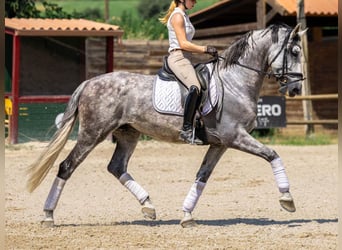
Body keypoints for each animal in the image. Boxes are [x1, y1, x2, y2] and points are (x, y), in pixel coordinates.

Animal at [26, 23, 304, 229]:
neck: (234, 82)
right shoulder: (235, 136)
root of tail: (89, 83)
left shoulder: (221, 143)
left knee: (116, 167)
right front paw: (287, 199)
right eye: (294, 52)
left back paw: (148, 206)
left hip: (128, 134)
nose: (296, 88)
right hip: (92, 133)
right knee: (67, 166)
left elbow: (202, 176)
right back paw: (48, 215)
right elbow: (272, 155)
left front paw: (187, 215)